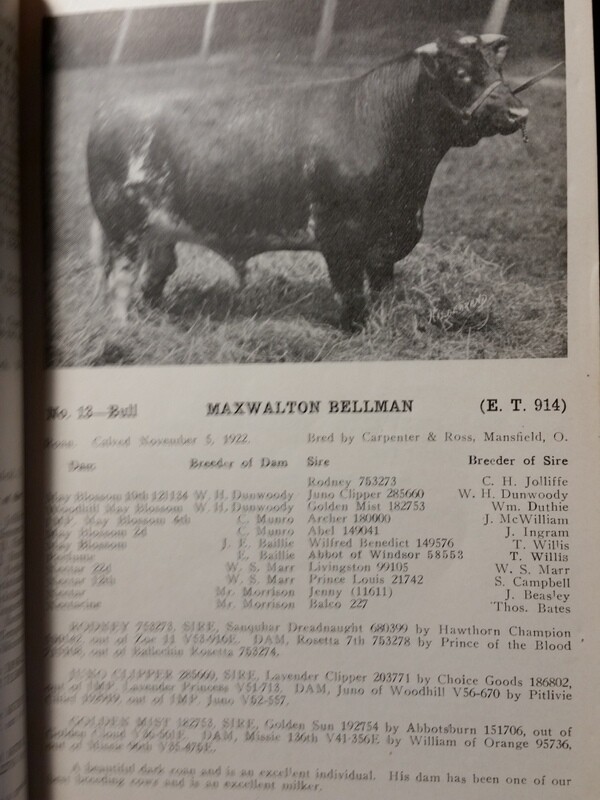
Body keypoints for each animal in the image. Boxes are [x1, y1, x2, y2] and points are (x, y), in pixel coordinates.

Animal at [87, 32, 529, 332]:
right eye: (462, 73)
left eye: (498, 69)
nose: (518, 112)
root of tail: (110, 110)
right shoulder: (341, 236)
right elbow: (351, 295)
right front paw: (355, 331)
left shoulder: (386, 241)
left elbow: (383, 288)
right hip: (122, 229)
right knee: (120, 283)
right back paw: (124, 334)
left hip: (160, 230)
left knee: (156, 274)